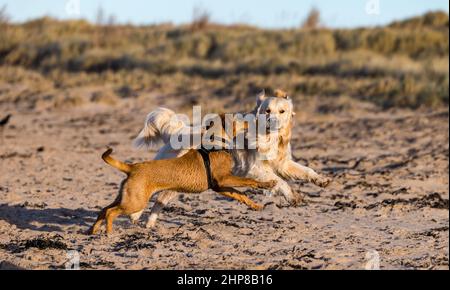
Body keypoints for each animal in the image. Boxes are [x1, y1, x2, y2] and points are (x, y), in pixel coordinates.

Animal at [89, 148, 274, 234]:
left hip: (126, 198)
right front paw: (268, 184)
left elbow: (240, 195)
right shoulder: (224, 180)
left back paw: (92, 231)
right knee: (110, 213)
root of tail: (132, 167)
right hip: (134, 203)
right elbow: (250, 181)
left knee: (103, 210)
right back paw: (109, 232)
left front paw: (256, 206)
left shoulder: (220, 186)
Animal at [132, 89, 328, 228]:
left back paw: (149, 224)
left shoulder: (283, 163)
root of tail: (178, 132)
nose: (273, 122)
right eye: (267, 111)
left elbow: (306, 170)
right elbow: (279, 181)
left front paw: (321, 180)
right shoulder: (255, 168)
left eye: (282, 111)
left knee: (159, 200)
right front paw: (292, 196)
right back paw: (136, 215)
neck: (270, 138)